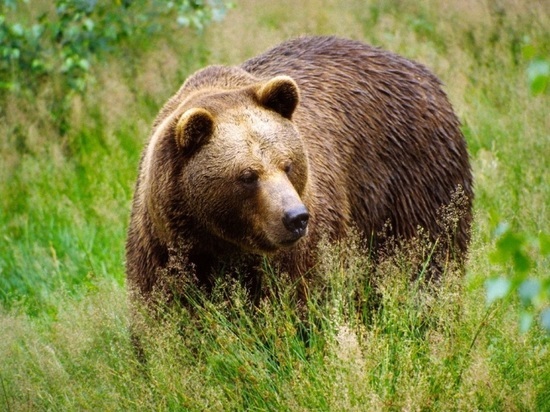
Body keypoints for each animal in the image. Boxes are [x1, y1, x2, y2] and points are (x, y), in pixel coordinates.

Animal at [125, 35, 474, 304]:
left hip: (415, 175)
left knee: (428, 255)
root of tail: (420, 70)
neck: (221, 245)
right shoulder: (164, 250)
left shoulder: (304, 249)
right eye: (247, 175)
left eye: (288, 164)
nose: (295, 218)